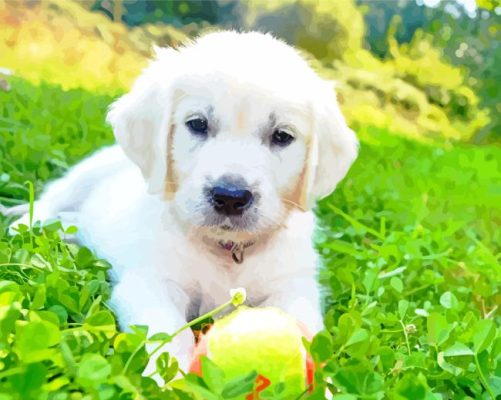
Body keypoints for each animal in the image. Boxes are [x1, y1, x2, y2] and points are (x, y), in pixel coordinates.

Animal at [9, 30, 358, 376]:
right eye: (198, 124)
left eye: (282, 136)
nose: (230, 197)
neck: (227, 249)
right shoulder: (152, 282)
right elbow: (168, 331)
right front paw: (171, 378)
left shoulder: (294, 286)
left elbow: (304, 329)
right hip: (85, 174)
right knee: (48, 202)